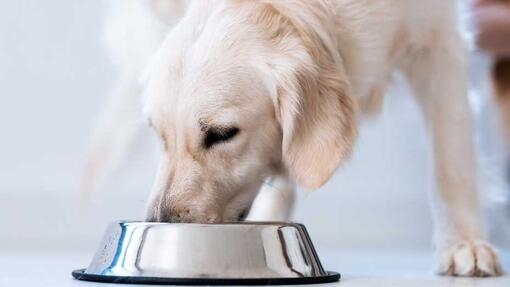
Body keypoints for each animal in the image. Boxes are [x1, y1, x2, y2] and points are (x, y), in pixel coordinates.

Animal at [84, 0, 502, 280]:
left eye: (222, 134)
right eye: (160, 134)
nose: (160, 224)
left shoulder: (439, 38)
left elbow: (451, 161)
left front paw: (463, 244)